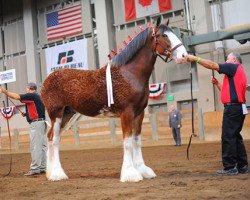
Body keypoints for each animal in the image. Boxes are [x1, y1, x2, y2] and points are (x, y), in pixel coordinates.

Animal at [41, 18, 187, 182]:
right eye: (164, 35)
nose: (184, 55)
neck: (130, 74)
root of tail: (47, 80)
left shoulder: (139, 114)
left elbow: (136, 141)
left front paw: (142, 170)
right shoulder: (127, 113)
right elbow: (127, 142)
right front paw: (130, 173)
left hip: (67, 114)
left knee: (52, 138)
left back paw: (51, 173)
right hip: (56, 114)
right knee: (54, 139)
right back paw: (57, 174)